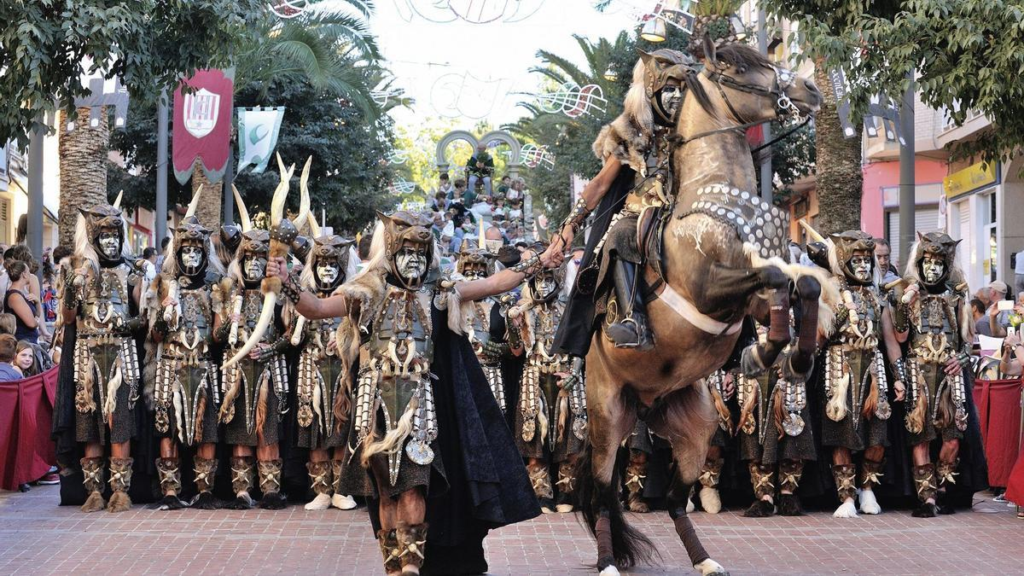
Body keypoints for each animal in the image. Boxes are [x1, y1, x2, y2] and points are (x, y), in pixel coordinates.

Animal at [581, 41, 835, 573]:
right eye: (740, 66)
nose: (810, 88)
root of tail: (643, 403)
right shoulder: (710, 288)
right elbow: (778, 278)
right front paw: (764, 354)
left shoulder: (748, 300)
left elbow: (802, 286)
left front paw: (789, 356)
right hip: (607, 417)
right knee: (602, 493)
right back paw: (609, 560)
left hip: (696, 429)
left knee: (676, 499)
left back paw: (704, 560)